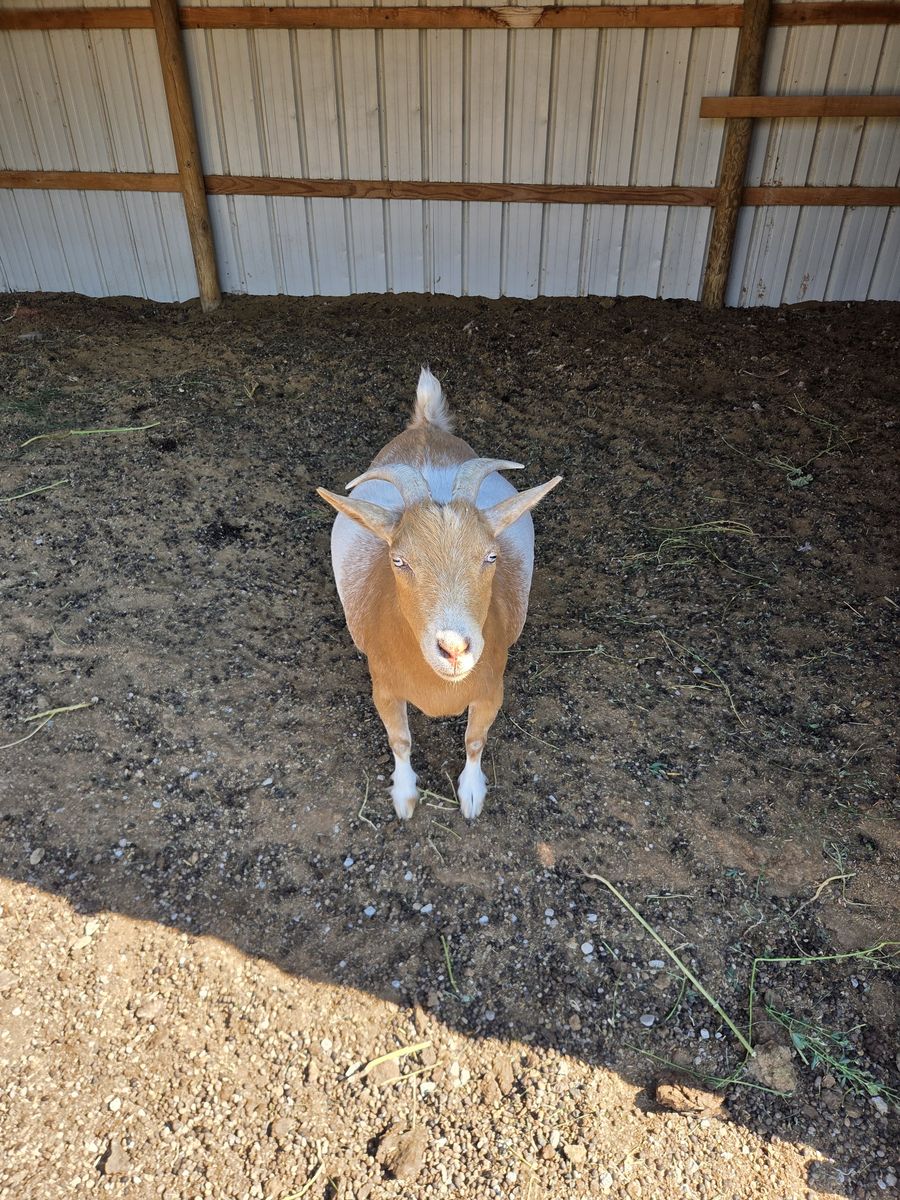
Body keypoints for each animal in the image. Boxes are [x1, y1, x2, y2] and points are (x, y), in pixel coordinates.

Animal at [317, 369, 561, 820]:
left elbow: (474, 741)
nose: (454, 649)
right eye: (399, 561)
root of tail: (426, 428)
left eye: (491, 555)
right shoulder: (384, 689)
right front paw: (405, 797)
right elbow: (400, 741)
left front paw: (470, 796)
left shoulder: (491, 690)